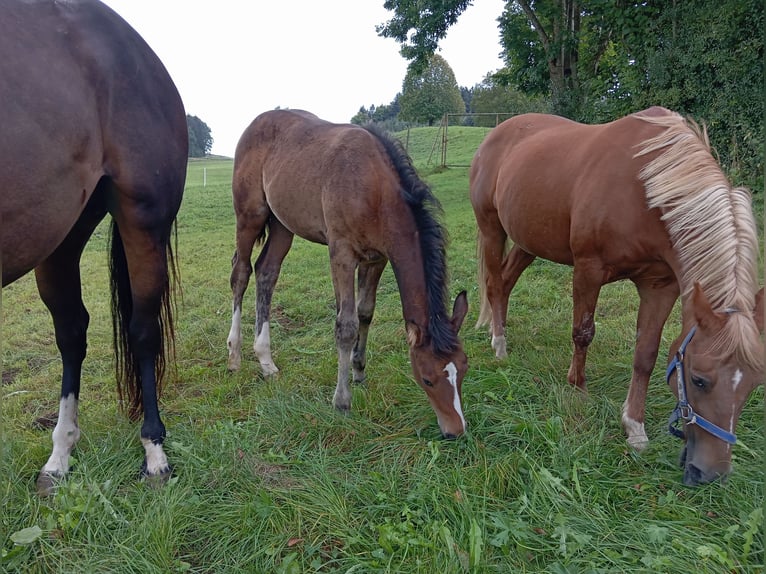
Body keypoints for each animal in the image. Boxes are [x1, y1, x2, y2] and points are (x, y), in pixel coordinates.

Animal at [2, 0, 188, 496]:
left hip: (143, 221)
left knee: (142, 330)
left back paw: (154, 452)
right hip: (60, 239)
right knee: (72, 331)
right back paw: (59, 455)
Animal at [225, 110, 472, 438]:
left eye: (464, 367)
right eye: (427, 378)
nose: (455, 430)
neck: (374, 188)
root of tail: (255, 124)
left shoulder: (376, 259)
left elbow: (365, 312)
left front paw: (359, 371)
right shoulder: (341, 254)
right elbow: (346, 325)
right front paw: (341, 401)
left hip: (282, 224)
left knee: (267, 272)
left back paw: (266, 361)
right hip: (250, 214)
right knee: (240, 273)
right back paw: (234, 356)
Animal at [472, 108, 764, 486]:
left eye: (755, 383)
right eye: (699, 378)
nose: (711, 473)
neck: (645, 189)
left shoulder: (660, 285)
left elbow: (646, 353)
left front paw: (635, 427)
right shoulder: (588, 269)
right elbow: (583, 333)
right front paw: (578, 391)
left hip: (527, 241)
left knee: (506, 284)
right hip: (492, 230)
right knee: (495, 284)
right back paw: (499, 344)